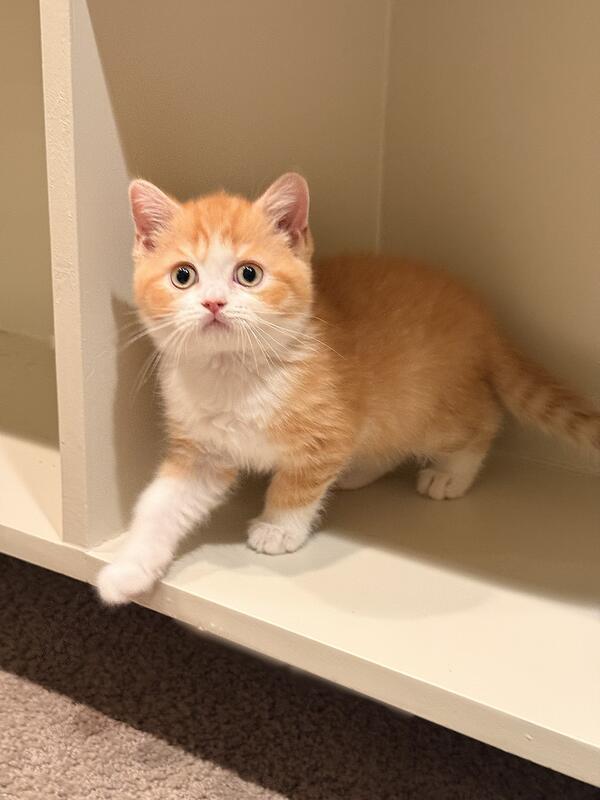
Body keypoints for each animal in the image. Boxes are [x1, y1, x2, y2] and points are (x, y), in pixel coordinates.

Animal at [96, 172, 600, 605]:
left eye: (249, 274)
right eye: (183, 276)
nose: (214, 303)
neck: (235, 376)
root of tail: (483, 319)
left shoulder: (329, 428)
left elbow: (298, 482)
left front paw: (279, 528)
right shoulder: (201, 451)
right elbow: (160, 505)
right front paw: (127, 568)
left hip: (423, 405)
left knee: (483, 420)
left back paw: (451, 474)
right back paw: (359, 470)